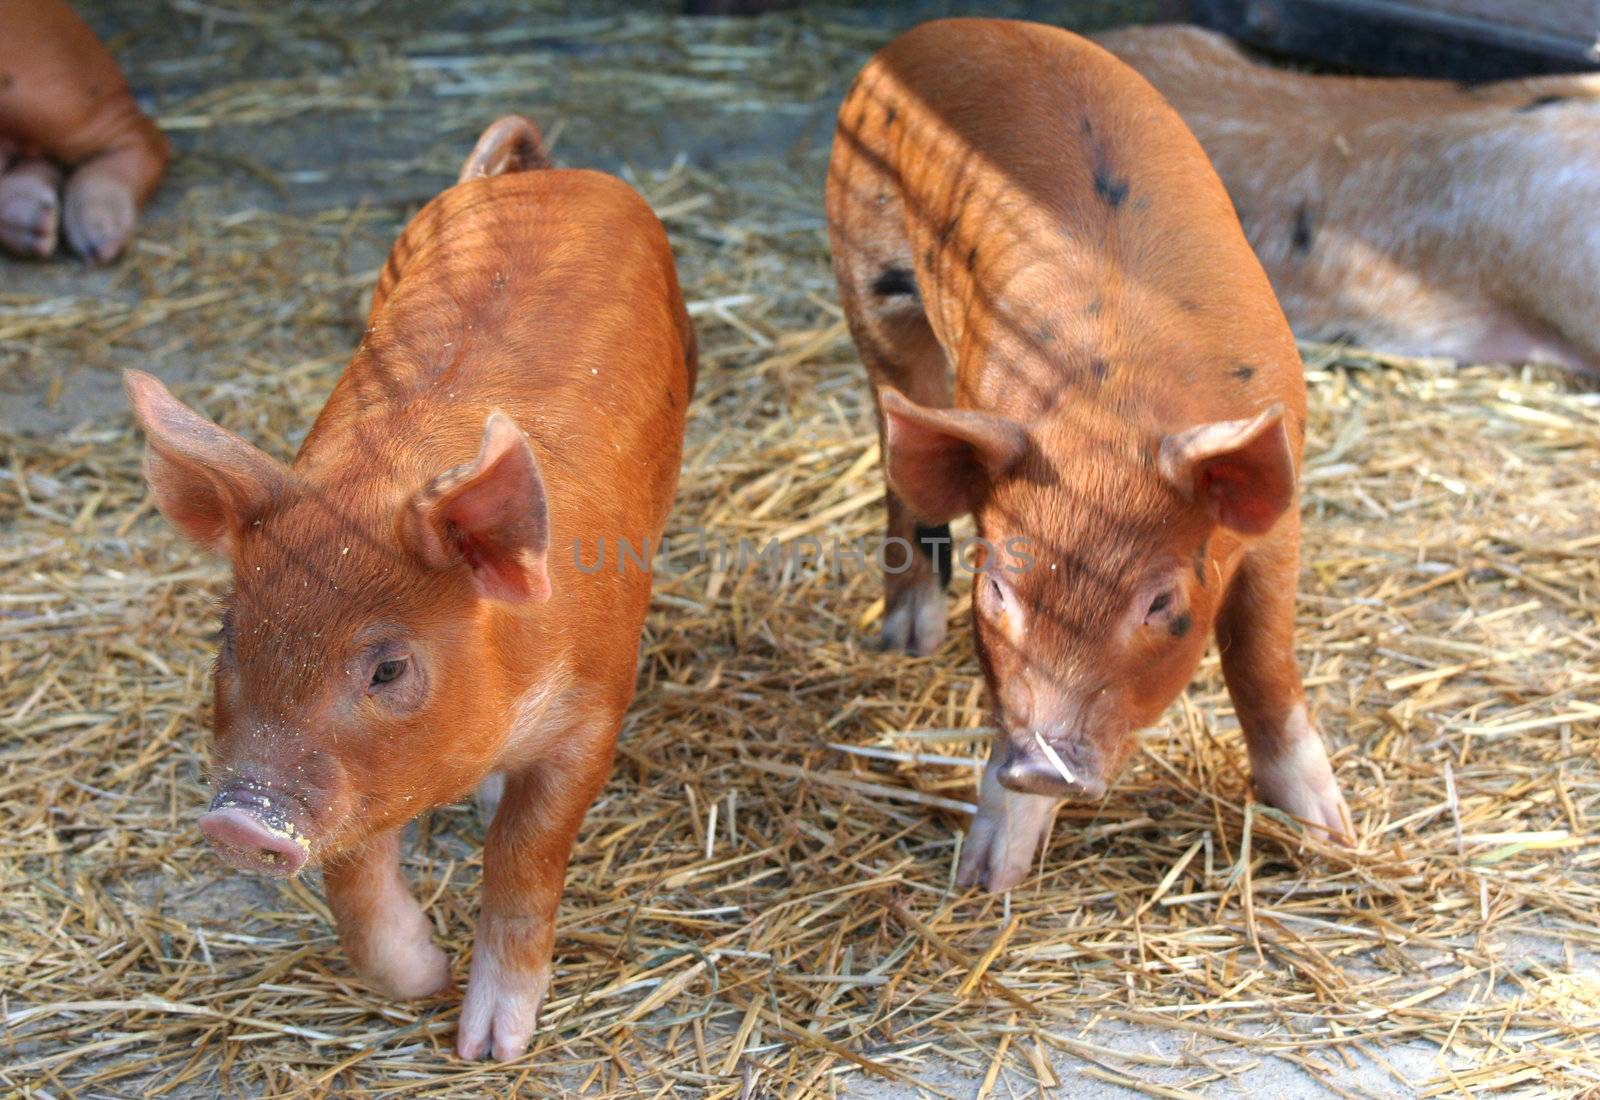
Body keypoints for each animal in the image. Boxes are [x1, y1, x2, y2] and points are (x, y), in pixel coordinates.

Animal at [121, 115, 697, 1061]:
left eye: (389, 668)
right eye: (229, 637)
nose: (237, 821)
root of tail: (544, 174)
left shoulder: (595, 705)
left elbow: (524, 855)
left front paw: (489, 1048)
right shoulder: (361, 778)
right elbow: (355, 879)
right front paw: (423, 982)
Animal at [832, 19, 1356, 895]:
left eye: (1161, 603)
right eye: (997, 589)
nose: (1044, 766)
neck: (1108, 416)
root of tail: (947, 29)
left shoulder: (1280, 513)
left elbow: (1263, 660)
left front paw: (1331, 837)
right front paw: (985, 879)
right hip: (871, 288)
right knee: (895, 441)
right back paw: (905, 640)